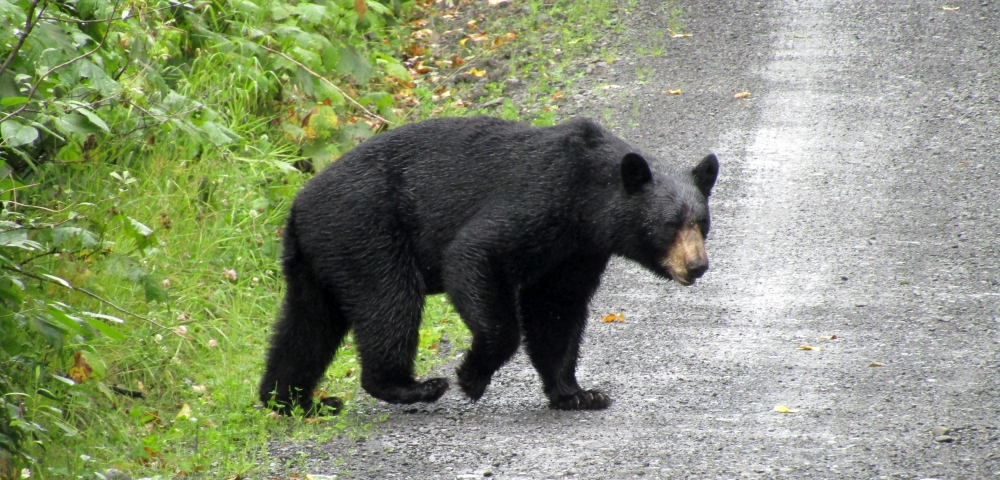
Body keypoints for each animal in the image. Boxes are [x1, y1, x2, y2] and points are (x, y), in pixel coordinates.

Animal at [258, 116, 720, 412]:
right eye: (669, 224)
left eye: (702, 223)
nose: (697, 265)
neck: (587, 199)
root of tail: (297, 207)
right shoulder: (539, 198)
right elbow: (473, 255)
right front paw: (471, 376)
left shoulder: (577, 251)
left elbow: (557, 309)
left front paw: (578, 393)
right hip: (366, 232)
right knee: (389, 302)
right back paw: (413, 386)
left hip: (321, 258)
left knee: (306, 327)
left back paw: (291, 400)